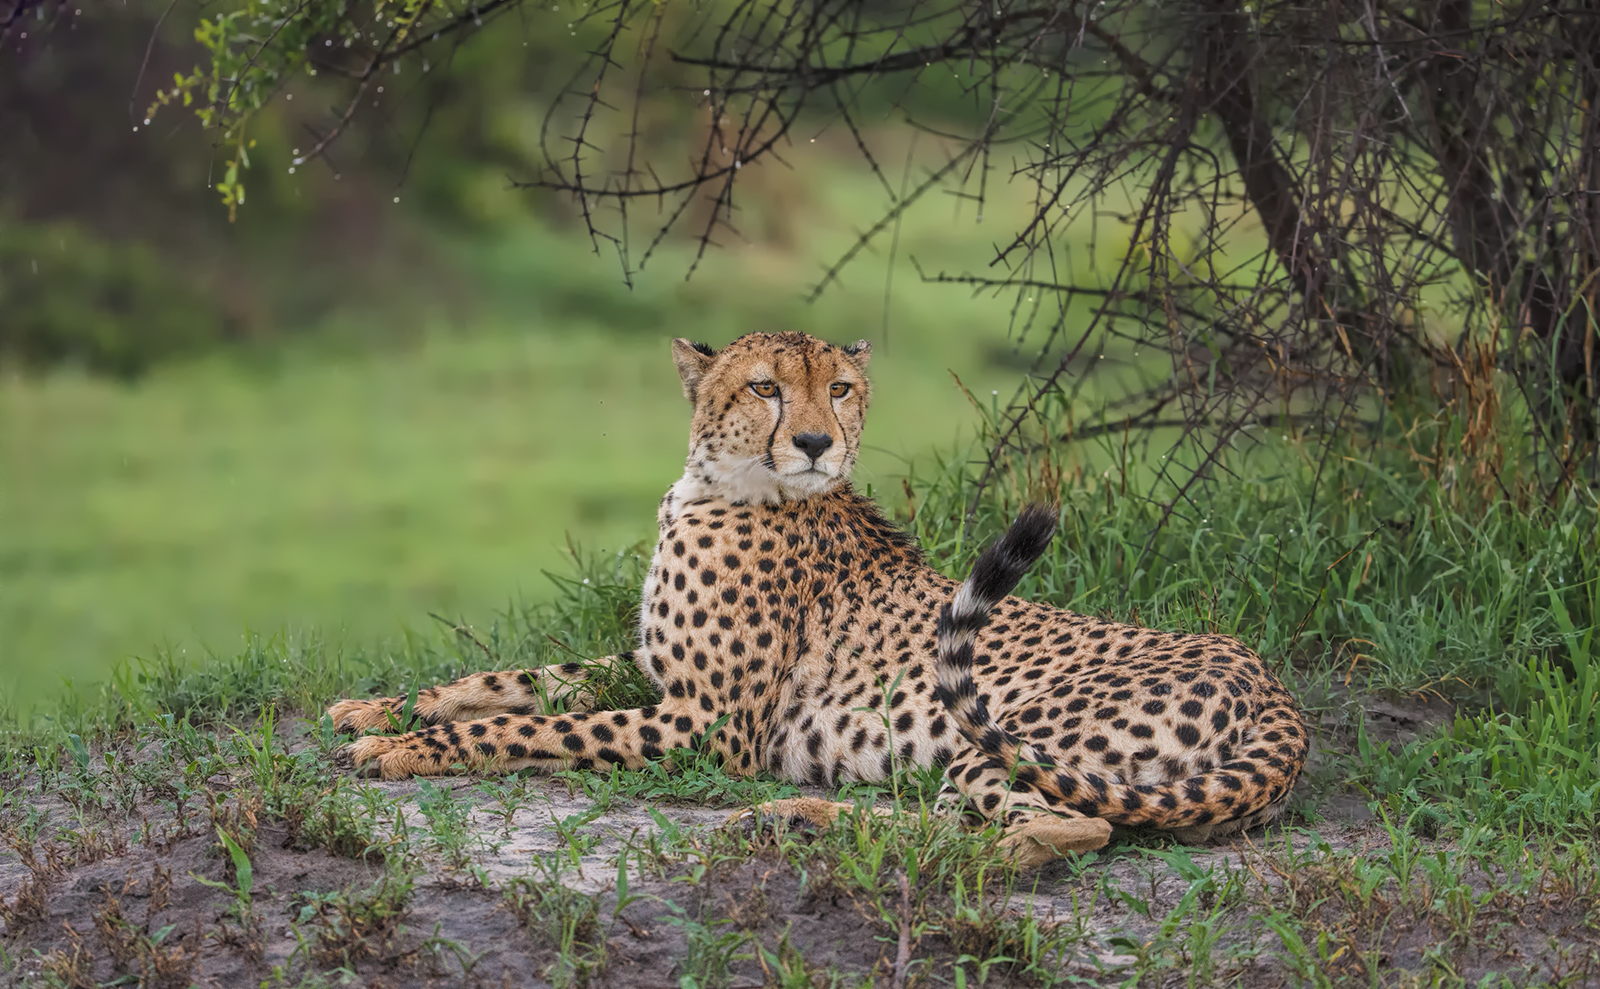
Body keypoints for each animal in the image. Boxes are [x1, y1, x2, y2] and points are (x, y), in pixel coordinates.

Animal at [328, 331, 1308, 867]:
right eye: (765, 385)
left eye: (838, 388)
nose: (812, 441)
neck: (715, 484)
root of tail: (1276, 689)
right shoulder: (650, 673)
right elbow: (513, 678)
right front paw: (374, 707)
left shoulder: (708, 723)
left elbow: (526, 724)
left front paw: (401, 748)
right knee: (977, 818)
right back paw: (795, 817)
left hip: (1011, 737)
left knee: (1053, 828)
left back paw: (796, 821)